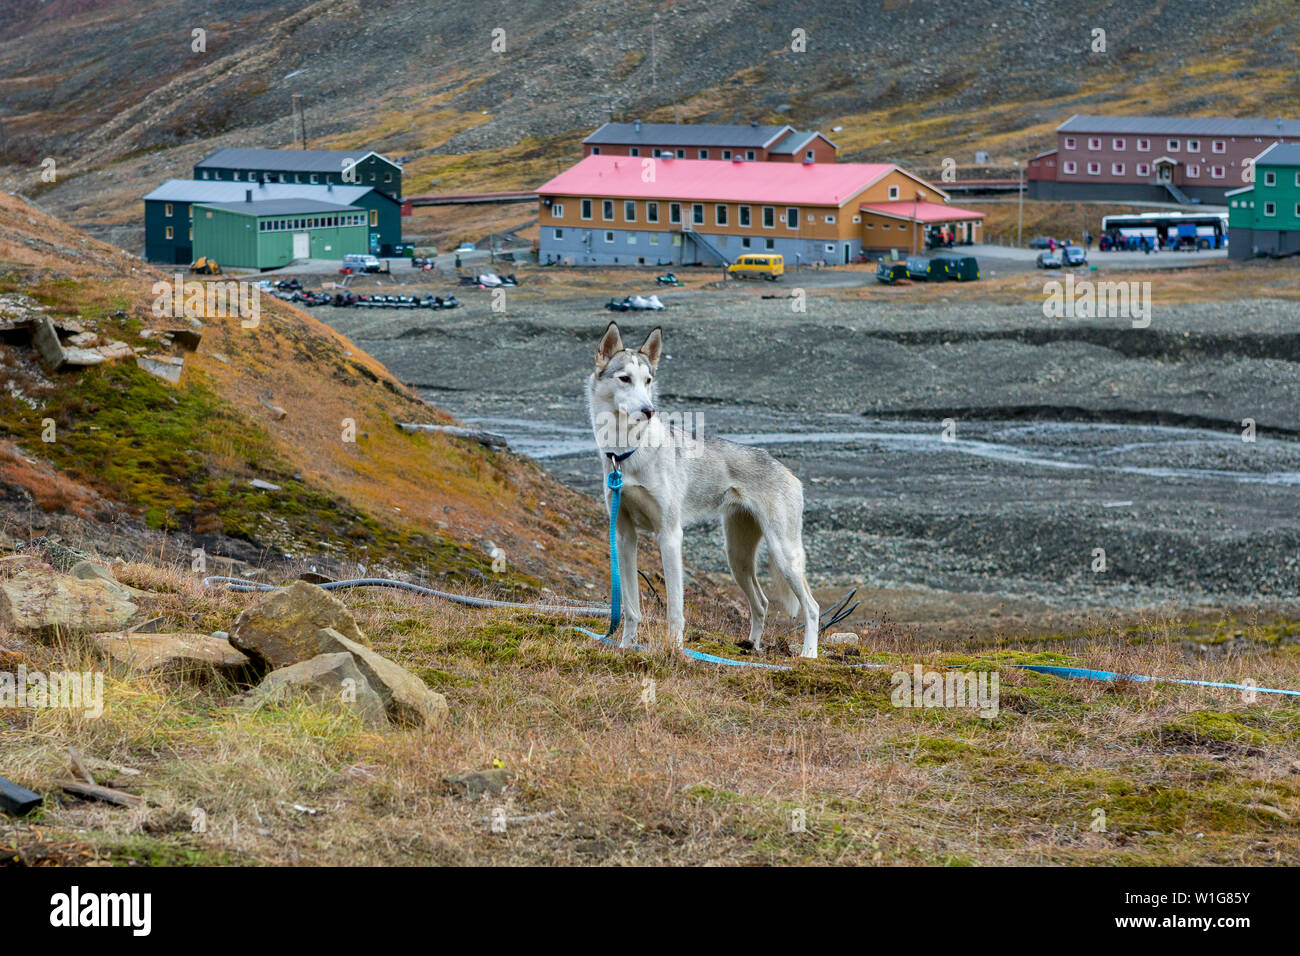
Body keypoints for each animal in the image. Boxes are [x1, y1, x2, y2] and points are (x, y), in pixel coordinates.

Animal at [590, 321, 821, 658]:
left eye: (648, 380)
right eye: (624, 379)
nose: (649, 410)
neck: (628, 453)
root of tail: (789, 473)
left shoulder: (670, 535)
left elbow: (675, 609)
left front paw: (675, 651)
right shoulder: (624, 536)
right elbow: (631, 607)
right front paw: (626, 647)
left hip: (784, 554)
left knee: (812, 607)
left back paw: (808, 654)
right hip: (737, 557)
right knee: (762, 603)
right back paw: (752, 647)